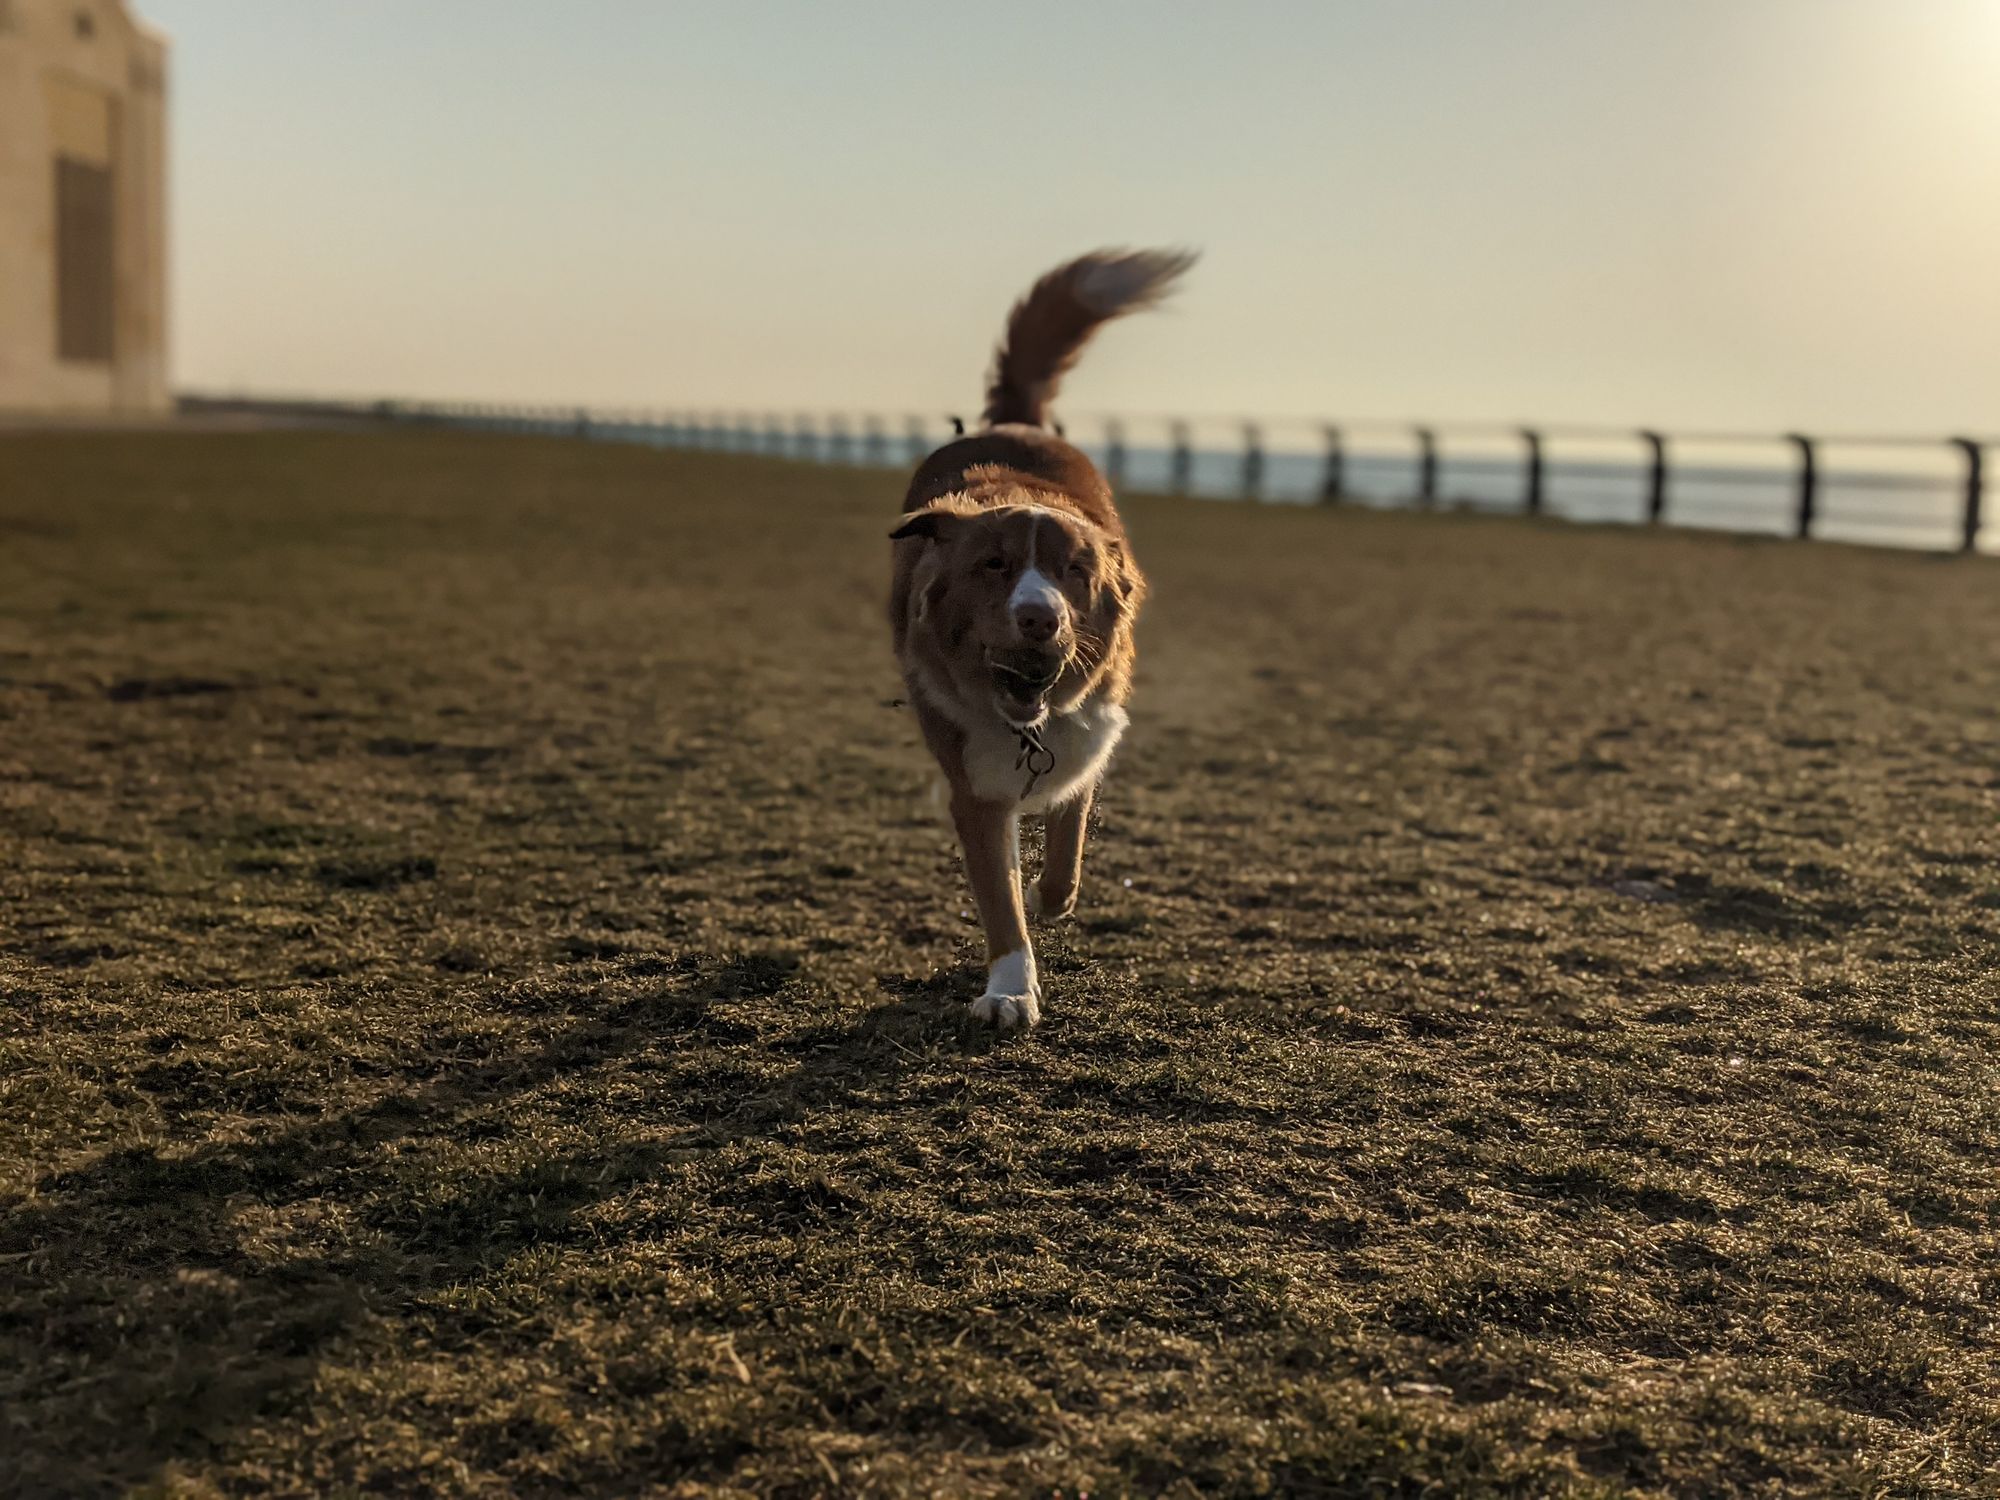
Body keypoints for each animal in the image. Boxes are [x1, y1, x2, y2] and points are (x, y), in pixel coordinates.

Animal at [888, 250, 1184, 1032]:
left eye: (1072, 571)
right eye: (994, 566)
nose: (1040, 618)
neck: (1026, 722)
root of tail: (1017, 423)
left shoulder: (1090, 731)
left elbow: (1069, 816)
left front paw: (1055, 895)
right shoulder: (975, 787)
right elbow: (1000, 899)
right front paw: (1010, 988)